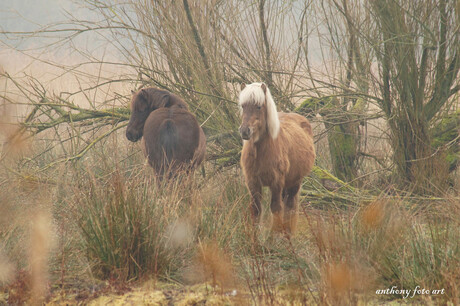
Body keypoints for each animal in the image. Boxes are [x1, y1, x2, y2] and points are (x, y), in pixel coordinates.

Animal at [237, 82, 316, 235]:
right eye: (243, 106)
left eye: (259, 106)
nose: (245, 131)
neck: (260, 152)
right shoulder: (253, 183)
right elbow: (256, 210)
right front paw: (254, 237)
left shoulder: (276, 183)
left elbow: (276, 208)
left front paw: (273, 236)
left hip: (294, 182)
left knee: (289, 206)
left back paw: (287, 233)